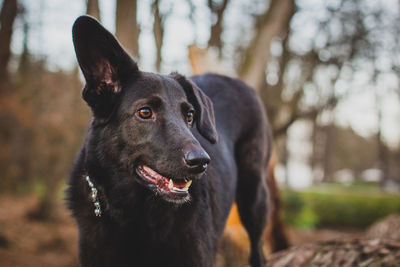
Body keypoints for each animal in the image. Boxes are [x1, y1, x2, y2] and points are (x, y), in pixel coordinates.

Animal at [68, 16, 272, 267]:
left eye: (190, 116)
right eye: (145, 112)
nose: (202, 161)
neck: (134, 214)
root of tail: (236, 81)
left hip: (254, 195)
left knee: (257, 247)